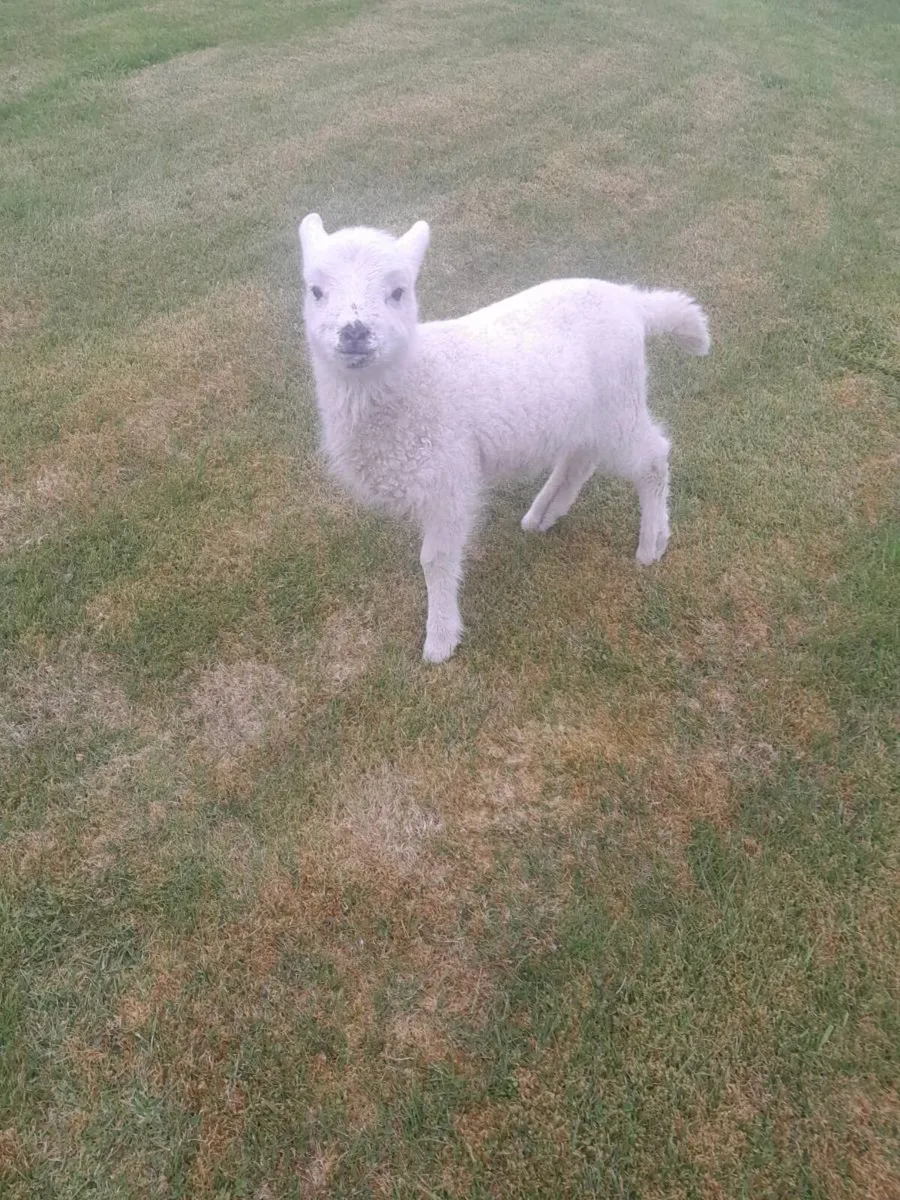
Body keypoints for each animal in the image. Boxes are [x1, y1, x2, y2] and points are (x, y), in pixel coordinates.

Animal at [298, 214, 710, 662]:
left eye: (398, 291)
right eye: (315, 290)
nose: (354, 332)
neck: (419, 378)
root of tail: (632, 302)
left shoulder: (449, 475)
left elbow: (435, 560)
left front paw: (440, 639)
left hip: (619, 401)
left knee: (651, 457)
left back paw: (652, 542)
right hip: (586, 410)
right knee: (580, 458)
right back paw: (543, 514)